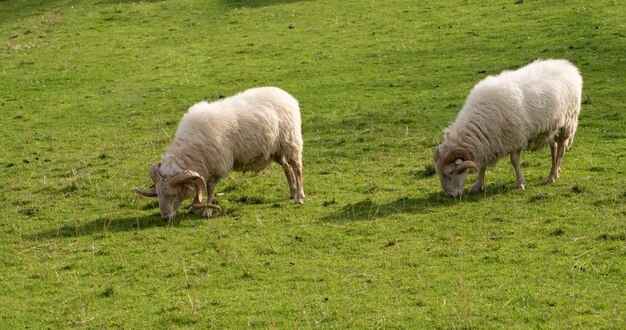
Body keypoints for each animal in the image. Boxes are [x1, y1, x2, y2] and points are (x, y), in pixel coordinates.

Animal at [134, 87, 304, 222]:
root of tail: (285, 95)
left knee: (297, 168)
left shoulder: (215, 167)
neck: (191, 148)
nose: (165, 218)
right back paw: (292, 193)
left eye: (174, 195)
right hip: (277, 150)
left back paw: (300, 197)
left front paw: (207, 211)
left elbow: (209, 189)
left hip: (291, 142)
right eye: (158, 195)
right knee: (287, 167)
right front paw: (194, 207)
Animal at [434, 59, 580, 196]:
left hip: (567, 123)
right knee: (553, 147)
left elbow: (514, 162)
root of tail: (566, 65)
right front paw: (477, 185)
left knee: (560, 149)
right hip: (552, 128)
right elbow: (482, 166)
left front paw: (520, 183)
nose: (449, 195)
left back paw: (552, 175)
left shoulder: (514, 139)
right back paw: (555, 170)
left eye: (451, 172)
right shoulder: (487, 144)